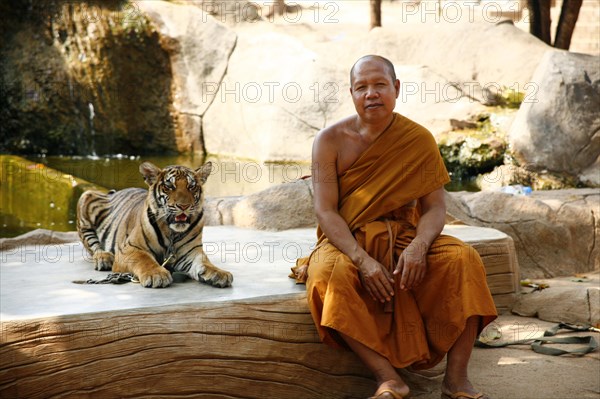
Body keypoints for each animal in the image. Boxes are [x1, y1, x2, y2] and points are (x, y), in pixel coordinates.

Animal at [77, 161, 232, 290]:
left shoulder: (192, 252)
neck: (172, 233)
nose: (184, 206)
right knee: (92, 244)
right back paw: (103, 258)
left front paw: (220, 274)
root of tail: (113, 192)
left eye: (191, 186)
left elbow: (205, 263)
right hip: (87, 197)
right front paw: (157, 275)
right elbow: (144, 259)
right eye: (169, 186)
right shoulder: (129, 249)